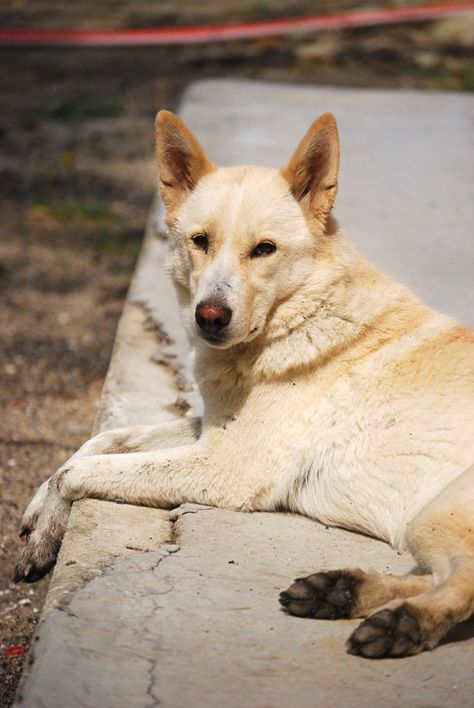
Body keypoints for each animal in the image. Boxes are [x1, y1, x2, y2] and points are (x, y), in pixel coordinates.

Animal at [14, 109, 474, 660]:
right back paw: (339, 591)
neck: (300, 317)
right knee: (438, 578)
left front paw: (46, 535)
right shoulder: (211, 430)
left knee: (463, 585)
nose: (209, 316)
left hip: (437, 515)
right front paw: (37, 508)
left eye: (265, 249)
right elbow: (99, 443)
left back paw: (402, 624)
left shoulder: (224, 466)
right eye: (200, 241)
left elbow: (83, 471)